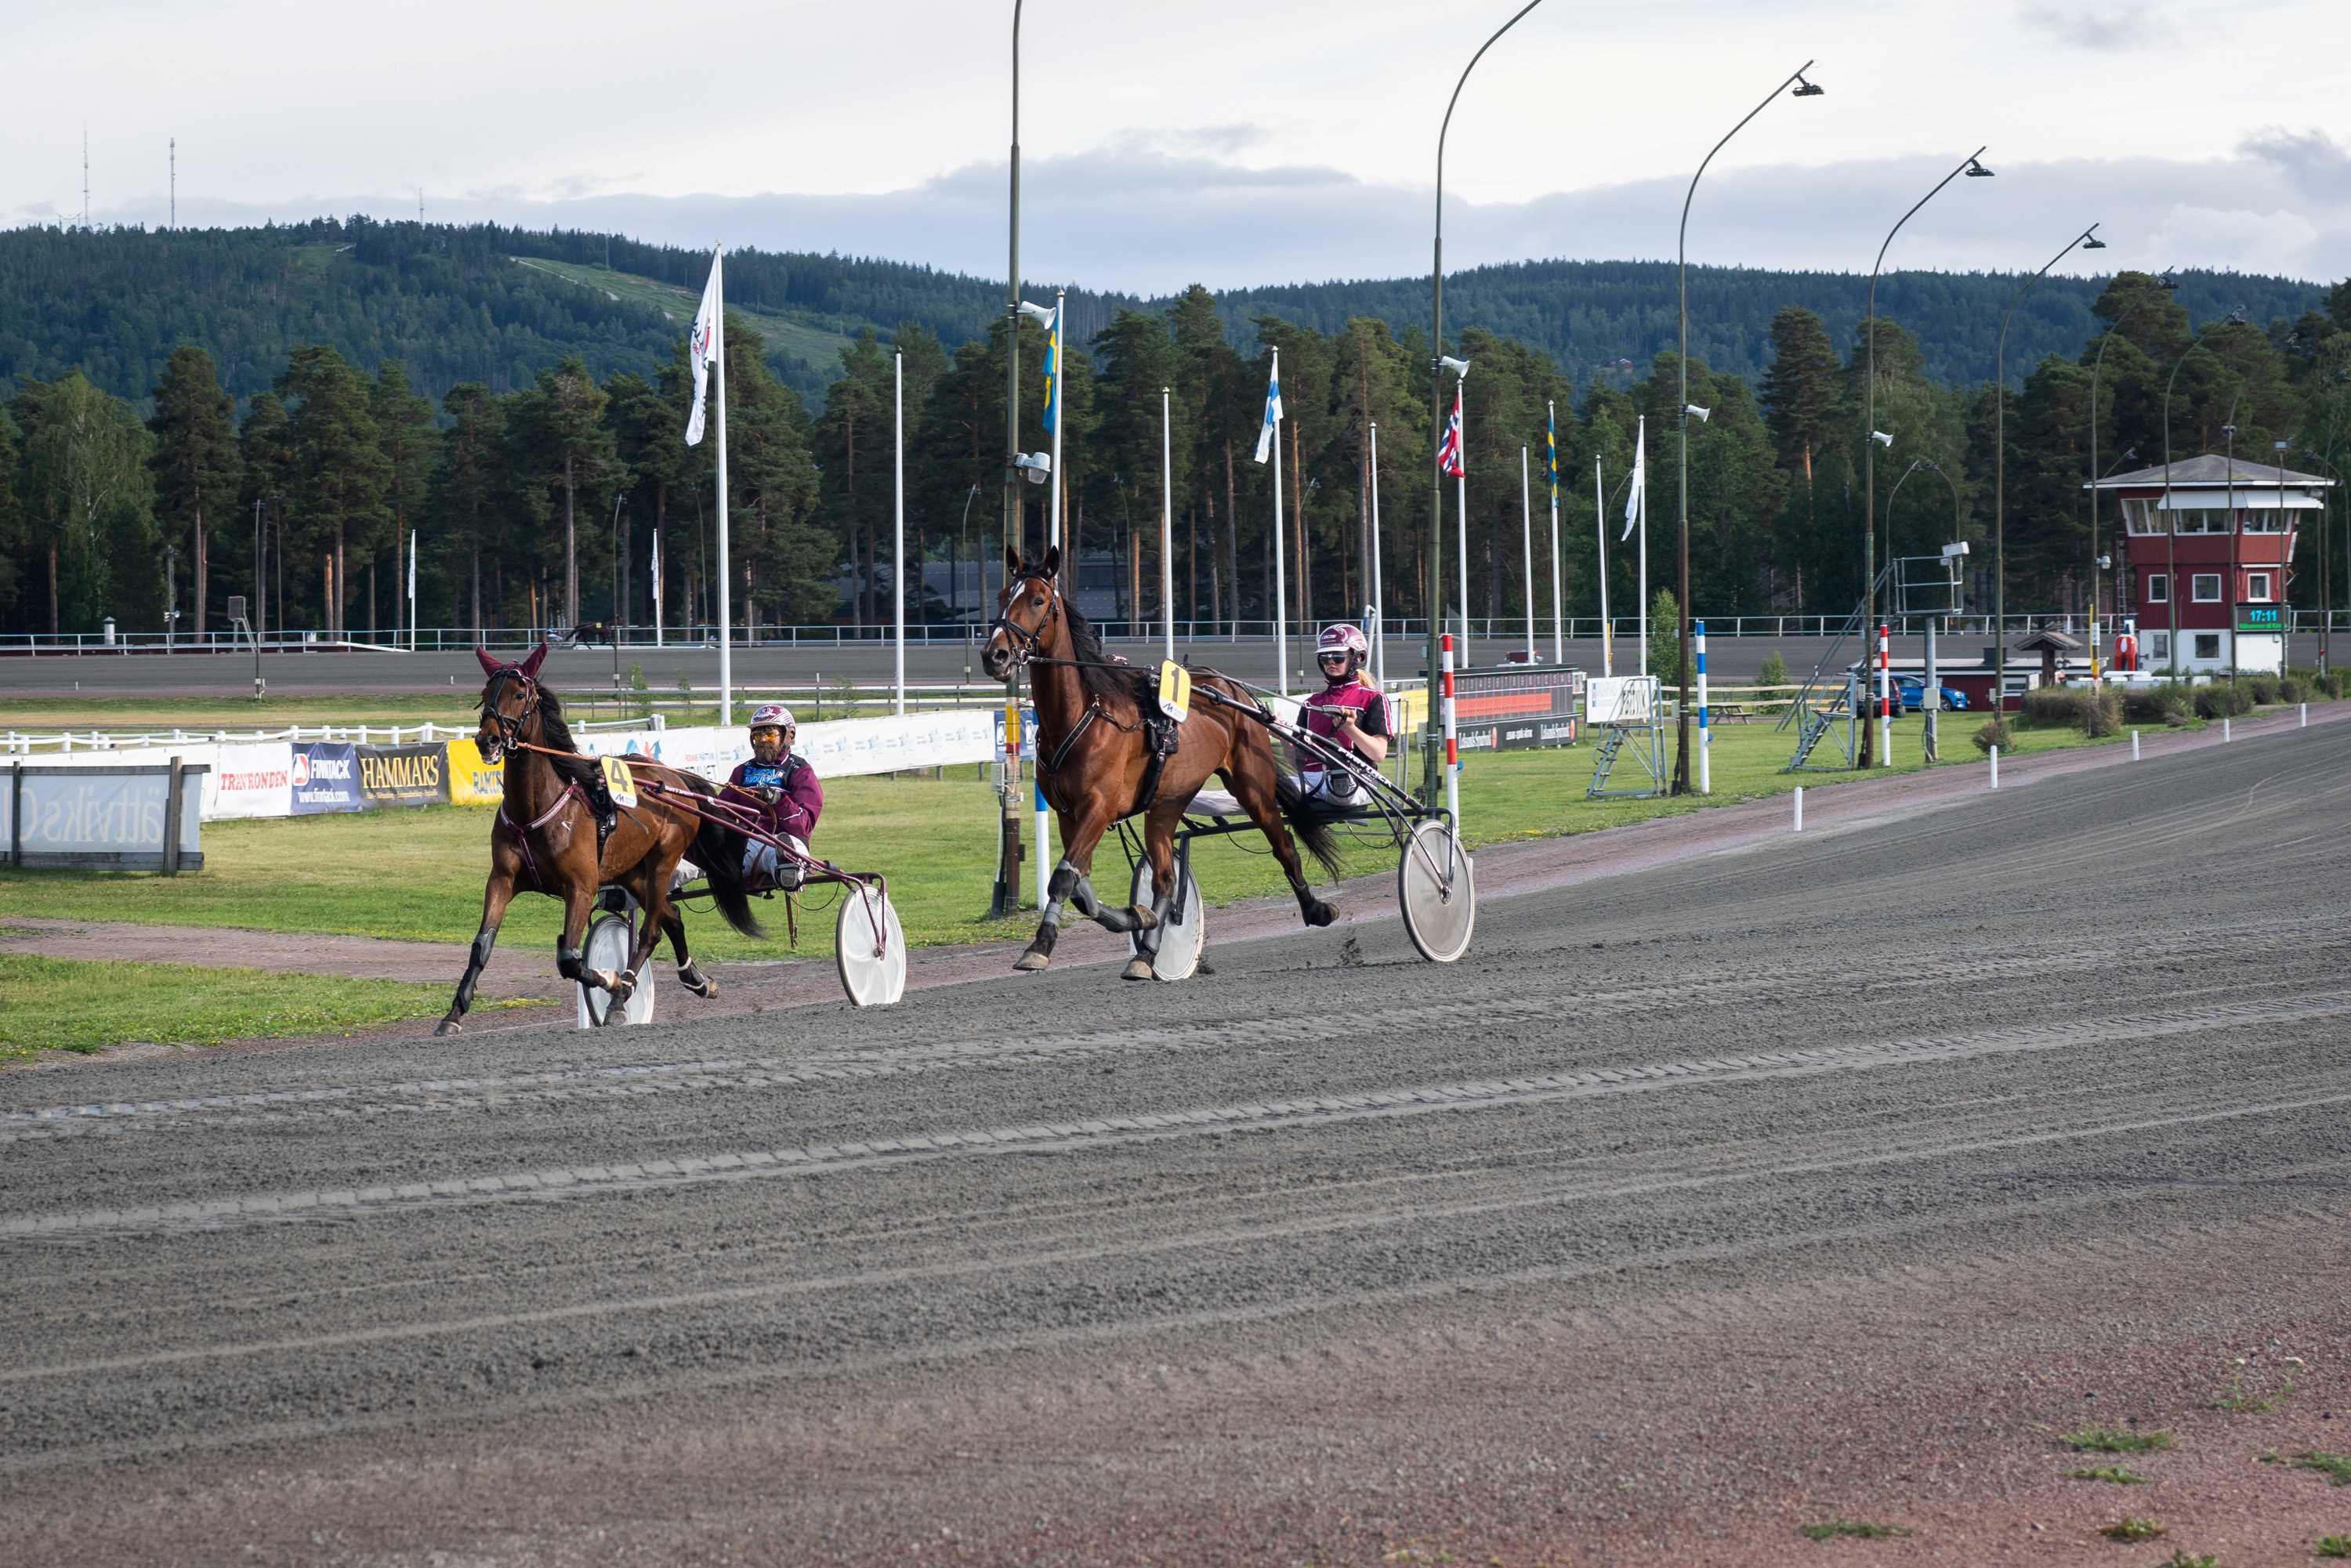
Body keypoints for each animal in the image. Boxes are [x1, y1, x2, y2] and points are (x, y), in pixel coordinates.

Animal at [440, 644, 762, 1034]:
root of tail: (674, 778)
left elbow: (569, 957)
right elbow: (481, 946)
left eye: (518, 695)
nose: (487, 740)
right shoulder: (502, 878)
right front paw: (453, 1015)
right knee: (671, 916)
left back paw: (622, 997)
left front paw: (611, 980)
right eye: (486, 694)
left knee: (651, 931)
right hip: (631, 871)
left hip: (663, 859)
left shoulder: (581, 885)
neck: (536, 809)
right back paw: (697, 980)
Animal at [973, 545, 1345, 973]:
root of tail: (1231, 688)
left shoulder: (1098, 807)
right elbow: (1081, 887)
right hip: (1167, 802)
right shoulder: (1068, 813)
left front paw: (1040, 945)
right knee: (1166, 877)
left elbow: (1064, 878)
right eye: (1002, 597)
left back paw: (1316, 908)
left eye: (1037, 600)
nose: (995, 655)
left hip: (1252, 784)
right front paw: (1136, 916)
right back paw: (1148, 951)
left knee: (1282, 842)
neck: (1082, 713)